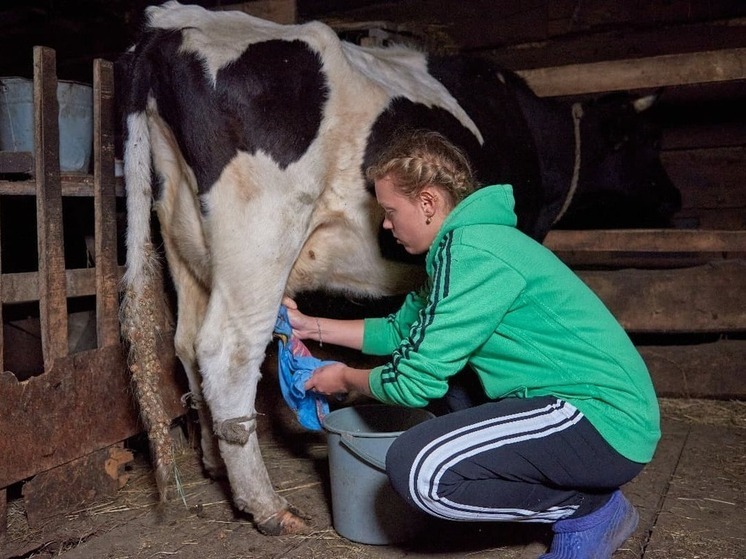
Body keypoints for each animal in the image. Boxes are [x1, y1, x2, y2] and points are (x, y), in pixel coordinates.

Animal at [117, 1, 680, 540]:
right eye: (645, 143)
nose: (675, 200)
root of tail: (169, 24)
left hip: (182, 232)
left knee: (186, 342)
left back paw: (216, 464)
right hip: (259, 234)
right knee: (227, 351)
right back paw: (268, 506)